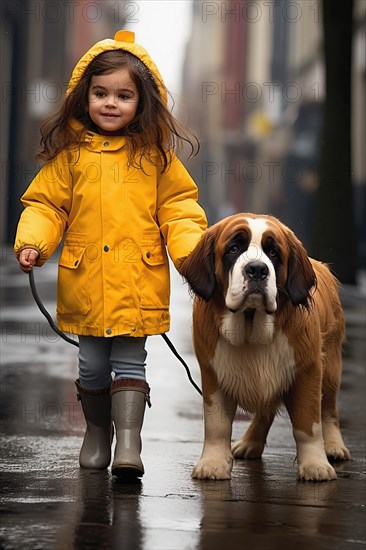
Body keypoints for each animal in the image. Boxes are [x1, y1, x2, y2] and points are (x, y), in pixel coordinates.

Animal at [182, 213, 350, 480]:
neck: (252, 328)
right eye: (234, 248)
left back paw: (334, 446)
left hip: (331, 367)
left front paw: (315, 464)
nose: (257, 270)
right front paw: (213, 462)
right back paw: (250, 442)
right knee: (265, 410)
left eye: (273, 252)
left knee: (329, 409)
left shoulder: (308, 371)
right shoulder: (213, 373)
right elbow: (217, 424)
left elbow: (308, 424)